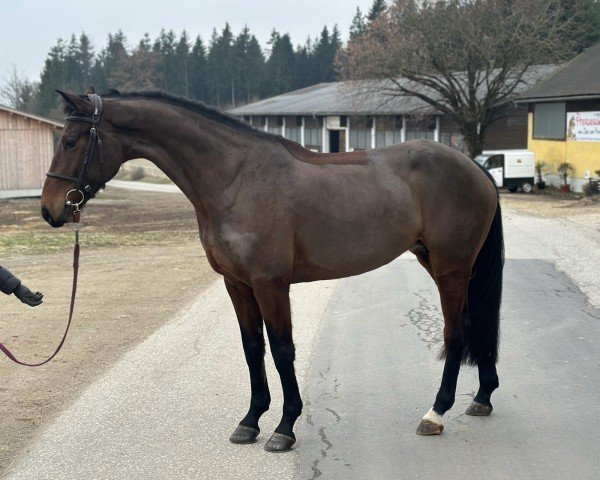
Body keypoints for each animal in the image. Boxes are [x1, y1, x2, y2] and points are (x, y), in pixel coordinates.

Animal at [39, 92, 504, 452]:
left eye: (71, 141)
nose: (50, 209)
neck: (235, 178)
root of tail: (473, 166)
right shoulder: (237, 284)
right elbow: (252, 349)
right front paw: (250, 421)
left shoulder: (270, 284)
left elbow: (282, 350)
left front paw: (284, 427)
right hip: (437, 262)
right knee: (475, 327)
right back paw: (481, 397)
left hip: (451, 267)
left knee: (456, 332)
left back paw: (435, 413)